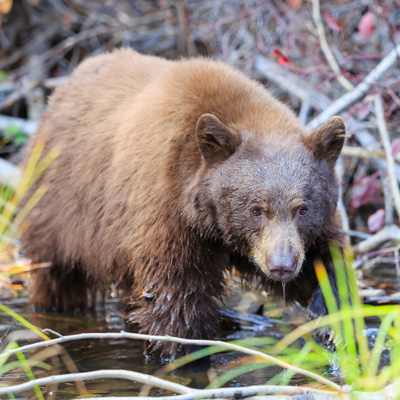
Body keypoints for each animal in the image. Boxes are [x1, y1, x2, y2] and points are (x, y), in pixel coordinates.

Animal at [21, 48, 346, 358]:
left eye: (302, 209)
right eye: (256, 209)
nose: (282, 265)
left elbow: (326, 260)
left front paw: (330, 318)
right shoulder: (166, 211)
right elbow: (174, 297)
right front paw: (183, 351)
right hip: (59, 209)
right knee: (56, 275)